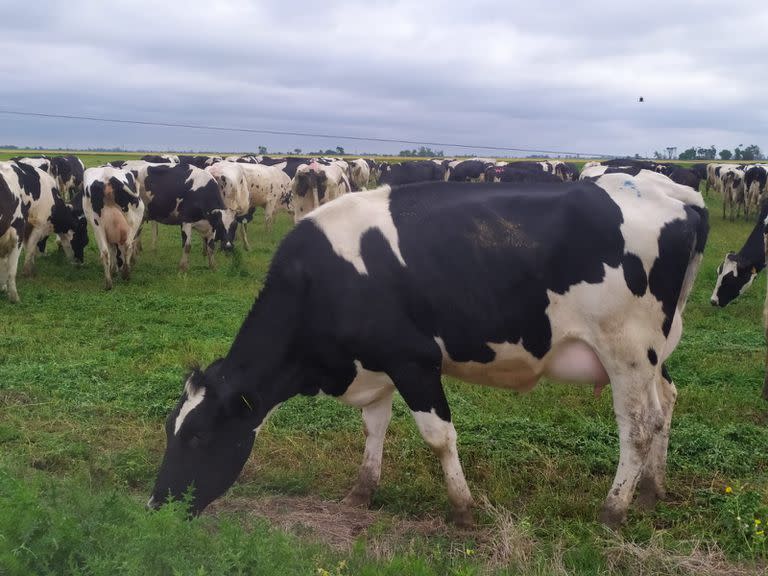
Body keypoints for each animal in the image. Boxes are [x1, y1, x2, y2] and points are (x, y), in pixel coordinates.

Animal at [150, 172, 708, 532]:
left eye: (199, 437)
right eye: (170, 428)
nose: (156, 506)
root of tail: (674, 194)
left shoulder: (413, 361)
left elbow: (438, 437)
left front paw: (463, 510)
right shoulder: (374, 364)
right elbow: (374, 428)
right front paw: (361, 492)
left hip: (626, 348)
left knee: (638, 426)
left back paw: (613, 511)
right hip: (656, 351)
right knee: (666, 405)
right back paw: (652, 492)